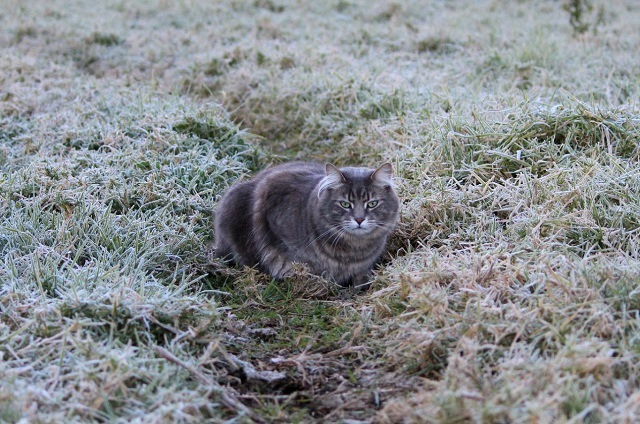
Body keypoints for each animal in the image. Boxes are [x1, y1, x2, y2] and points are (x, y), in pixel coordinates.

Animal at [212, 161, 400, 286]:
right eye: (345, 204)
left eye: (372, 204)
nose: (359, 219)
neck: (354, 249)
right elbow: (290, 260)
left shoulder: (363, 267)